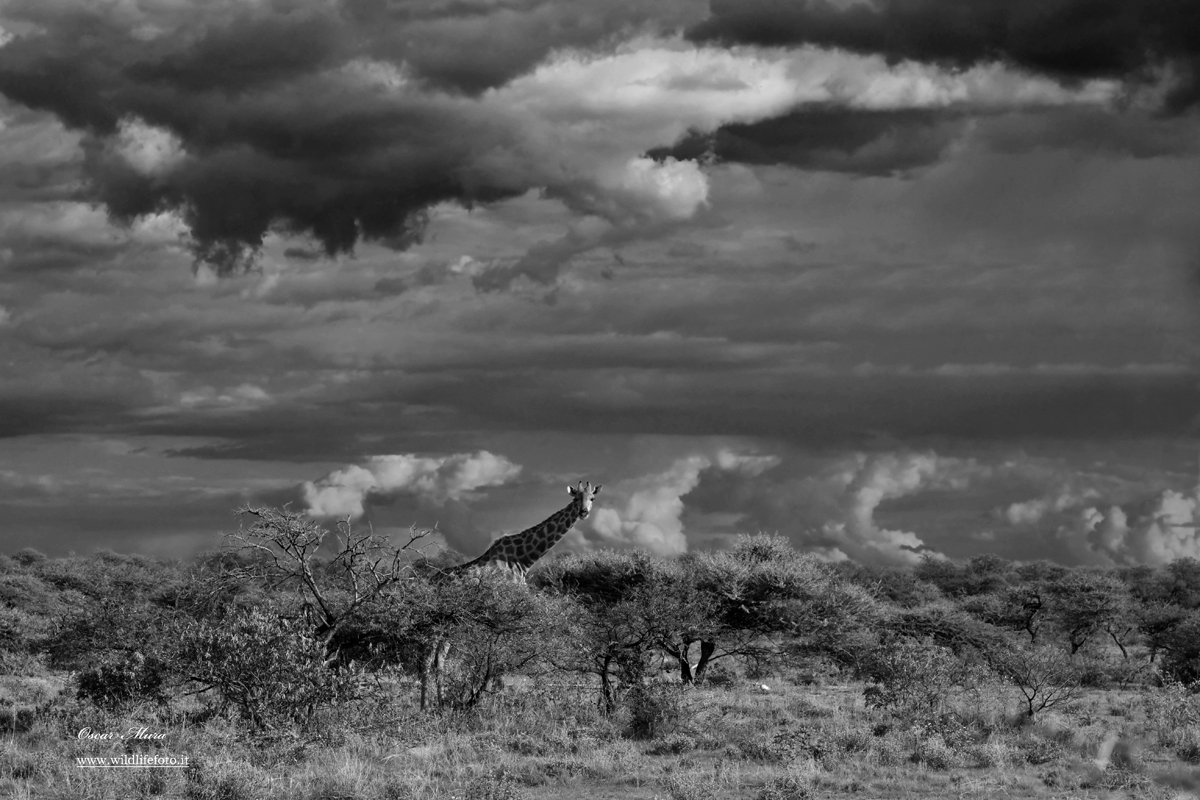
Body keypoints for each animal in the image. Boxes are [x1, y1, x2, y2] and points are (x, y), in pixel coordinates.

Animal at [424, 479, 604, 710]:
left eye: (592, 498)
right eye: (575, 498)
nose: (583, 512)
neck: (524, 559)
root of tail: (432, 581)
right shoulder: (510, 611)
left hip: (449, 621)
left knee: (438, 658)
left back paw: (435, 704)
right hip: (441, 620)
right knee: (429, 658)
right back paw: (429, 705)